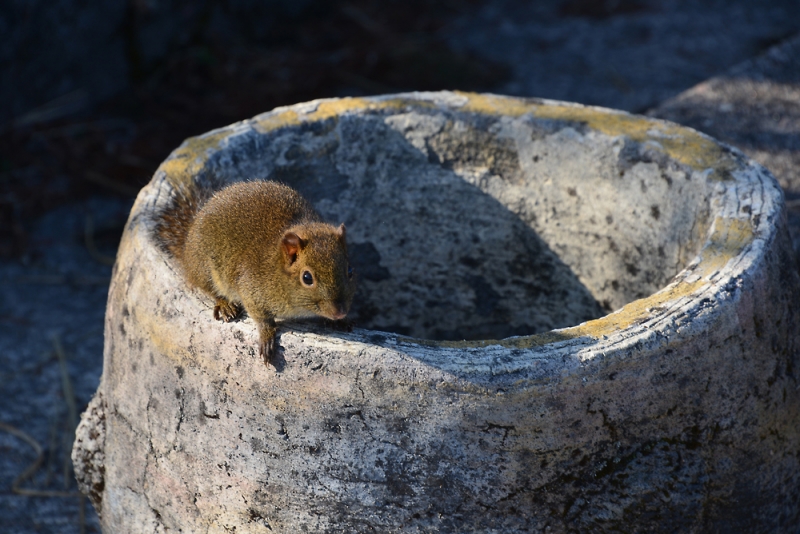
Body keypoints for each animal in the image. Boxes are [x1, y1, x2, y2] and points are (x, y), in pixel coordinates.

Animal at [157, 182, 356, 366]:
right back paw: (224, 305)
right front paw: (267, 336)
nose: (340, 312)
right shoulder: (251, 288)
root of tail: (187, 242)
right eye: (307, 278)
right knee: (207, 288)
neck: (276, 267)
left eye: (350, 270)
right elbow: (261, 317)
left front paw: (339, 322)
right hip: (204, 268)